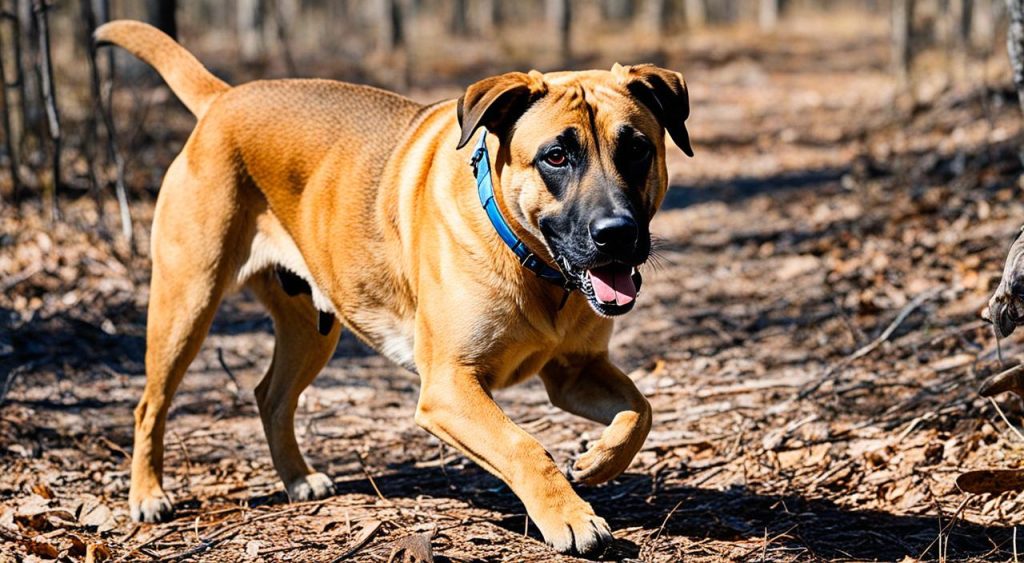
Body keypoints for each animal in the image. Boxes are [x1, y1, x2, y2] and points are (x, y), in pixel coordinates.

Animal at [96, 18, 692, 556]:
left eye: (637, 149)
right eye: (556, 156)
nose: (617, 234)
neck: (535, 266)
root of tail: (223, 100)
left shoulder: (575, 371)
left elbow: (640, 410)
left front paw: (596, 461)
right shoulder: (449, 386)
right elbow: (522, 445)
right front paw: (569, 515)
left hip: (313, 328)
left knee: (271, 395)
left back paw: (297, 478)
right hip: (187, 301)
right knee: (151, 405)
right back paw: (148, 496)